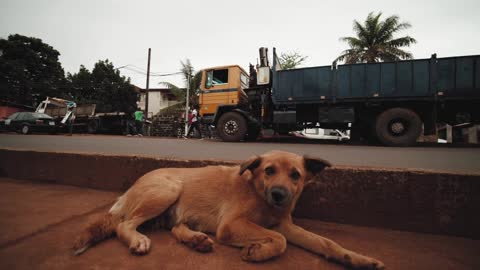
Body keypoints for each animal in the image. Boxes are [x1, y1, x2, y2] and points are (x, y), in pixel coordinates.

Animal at [73, 151, 384, 268]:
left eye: (295, 175)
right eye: (269, 171)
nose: (280, 195)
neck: (260, 196)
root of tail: (129, 190)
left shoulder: (286, 224)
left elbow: (326, 242)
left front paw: (358, 259)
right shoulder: (231, 225)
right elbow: (279, 240)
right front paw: (259, 251)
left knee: (176, 227)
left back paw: (196, 240)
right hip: (167, 190)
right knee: (124, 225)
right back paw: (138, 239)